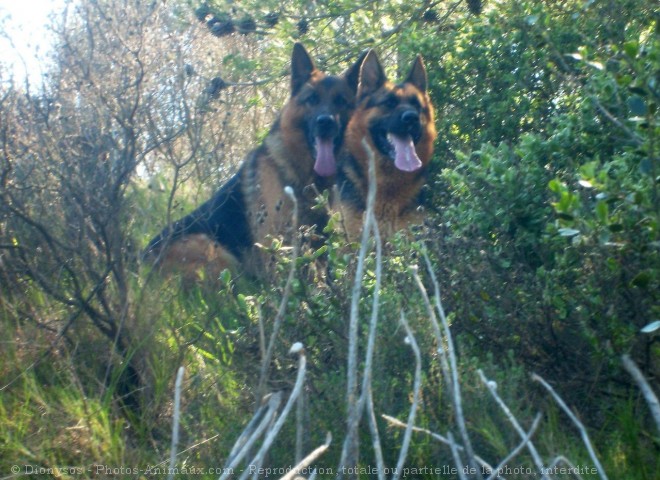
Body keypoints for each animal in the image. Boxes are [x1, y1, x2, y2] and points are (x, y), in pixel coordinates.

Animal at [142, 44, 366, 282]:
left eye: (341, 101)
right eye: (312, 99)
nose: (326, 123)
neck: (306, 174)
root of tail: (141, 264)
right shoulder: (278, 250)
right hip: (217, 253)